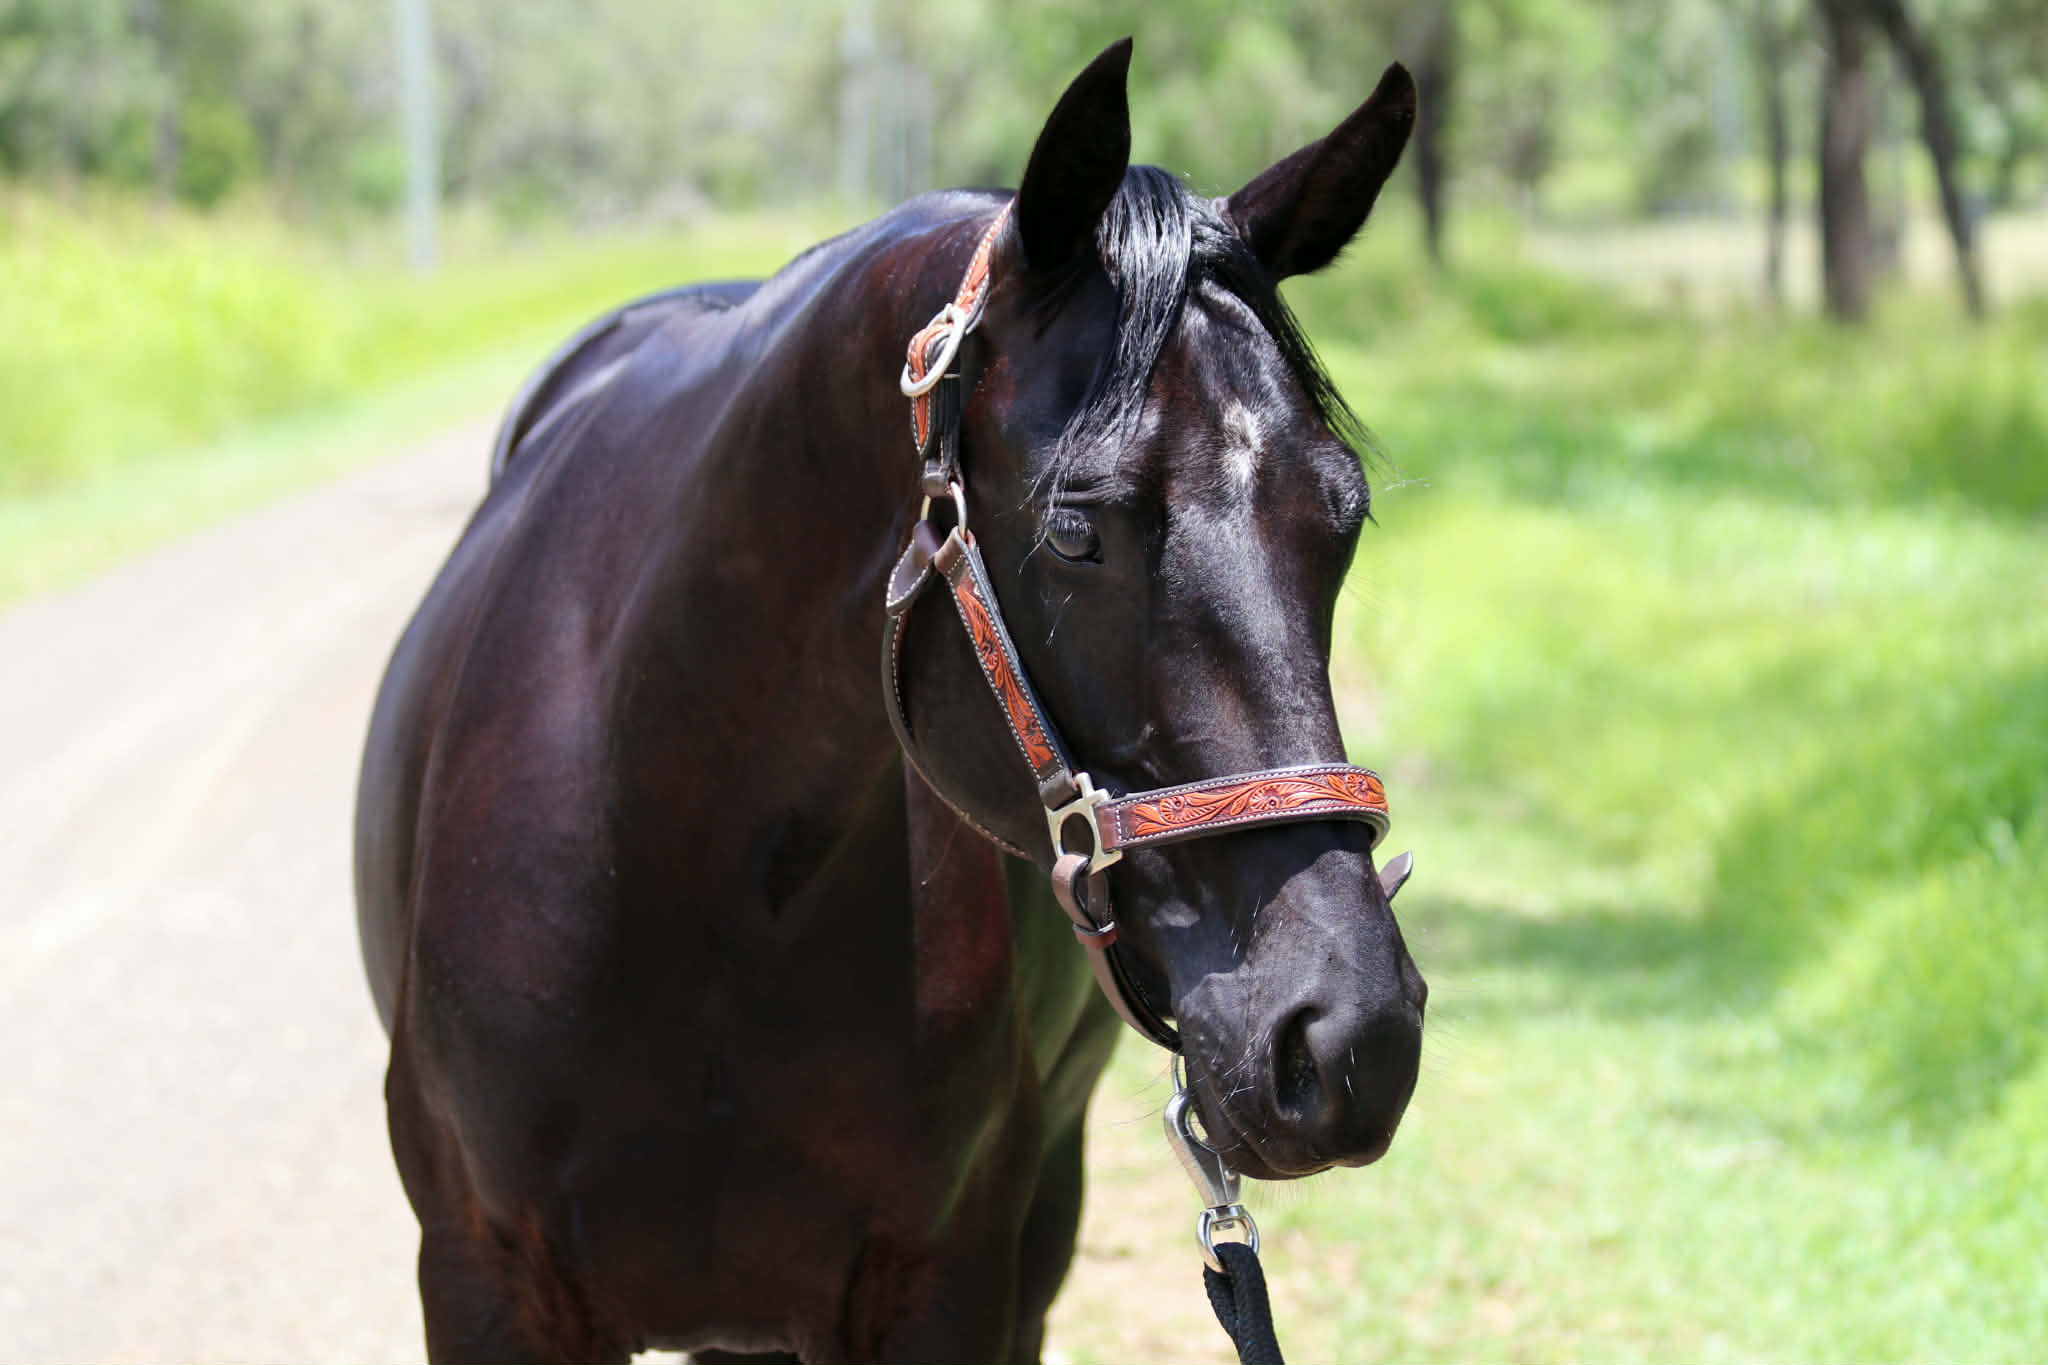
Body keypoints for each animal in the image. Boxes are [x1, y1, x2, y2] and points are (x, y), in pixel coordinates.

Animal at [354, 39, 1425, 1363]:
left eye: (1343, 517)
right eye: (1076, 531)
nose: (1348, 1035)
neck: (684, 863)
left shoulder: (947, 1280)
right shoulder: (485, 1277)